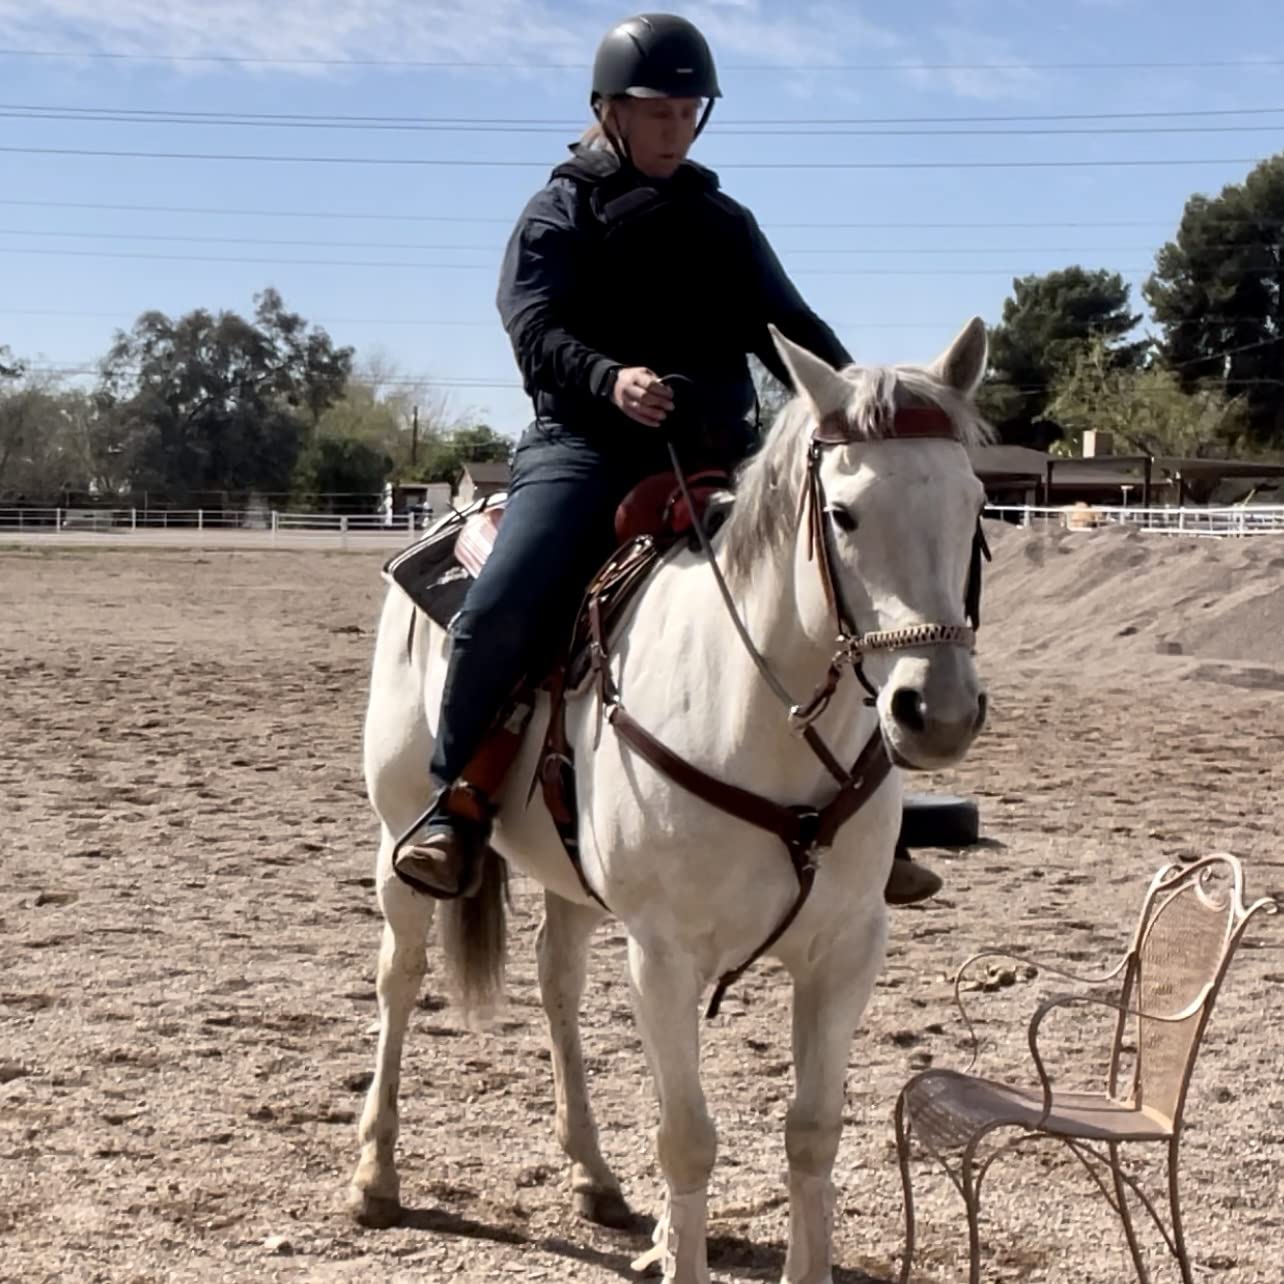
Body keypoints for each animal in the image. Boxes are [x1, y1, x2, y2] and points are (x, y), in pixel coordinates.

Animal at [348, 319, 993, 1284]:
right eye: (843, 514)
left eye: (976, 505)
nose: (937, 712)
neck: (757, 716)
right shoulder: (664, 955)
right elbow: (686, 1138)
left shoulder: (845, 953)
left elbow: (813, 1133)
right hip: (398, 837)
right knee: (401, 976)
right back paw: (376, 1176)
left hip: (571, 880)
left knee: (558, 983)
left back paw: (594, 1176)